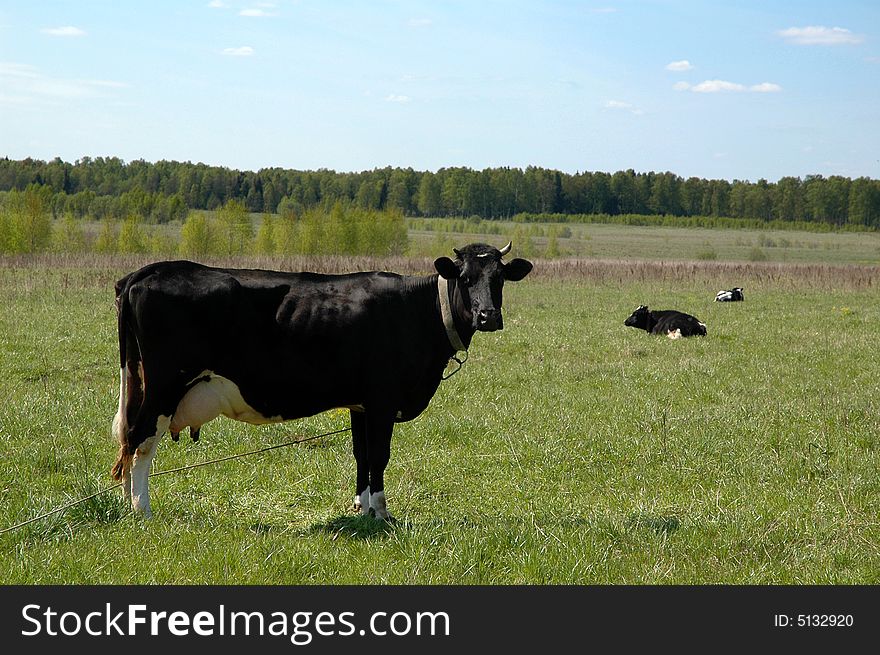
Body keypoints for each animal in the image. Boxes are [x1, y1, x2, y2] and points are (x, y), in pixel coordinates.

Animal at [112, 243, 532, 520]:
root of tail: (147, 271)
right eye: (465, 278)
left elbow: (361, 454)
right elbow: (379, 455)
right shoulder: (382, 400)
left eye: (499, 278)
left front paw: (361, 506)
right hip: (164, 386)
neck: (417, 310)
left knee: (130, 440)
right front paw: (382, 513)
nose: (488, 316)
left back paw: (129, 503)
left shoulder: (361, 404)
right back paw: (142, 509)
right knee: (141, 440)